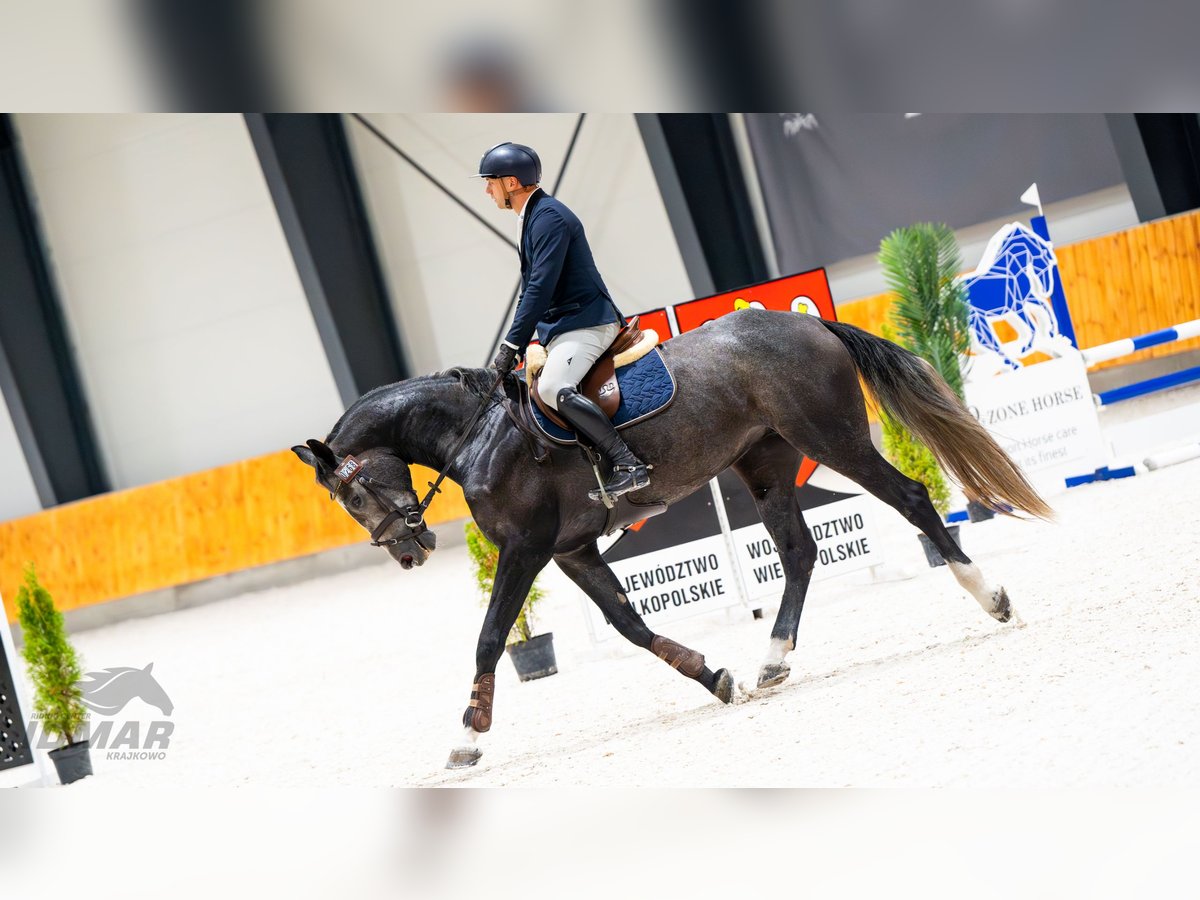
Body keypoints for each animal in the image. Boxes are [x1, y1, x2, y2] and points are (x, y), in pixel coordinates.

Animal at [292, 309, 1051, 768]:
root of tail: (809, 324)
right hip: (766, 463)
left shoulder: (527, 548)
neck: (477, 432)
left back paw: (993, 598)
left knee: (913, 499)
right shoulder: (571, 551)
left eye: (352, 496)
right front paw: (713, 677)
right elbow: (628, 625)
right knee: (798, 552)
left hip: (830, 438)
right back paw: (771, 661)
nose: (408, 552)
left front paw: (468, 738)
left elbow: (489, 637)